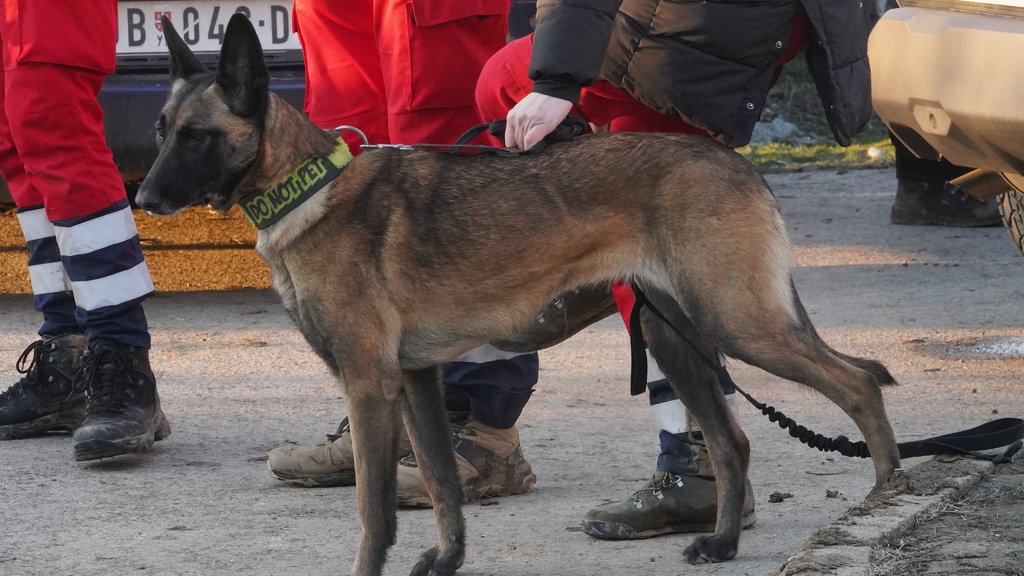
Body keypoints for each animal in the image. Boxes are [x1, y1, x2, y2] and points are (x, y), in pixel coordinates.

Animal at [138, 15, 905, 573]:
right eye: (160, 131)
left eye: (200, 136)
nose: (142, 199)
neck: (309, 190)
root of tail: (733, 161)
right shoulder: (416, 382)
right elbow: (442, 485)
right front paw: (447, 561)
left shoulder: (368, 386)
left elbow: (373, 512)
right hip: (672, 335)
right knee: (731, 439)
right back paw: (722, 544)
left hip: (740, 324)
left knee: (859, 382)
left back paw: (885, 497)